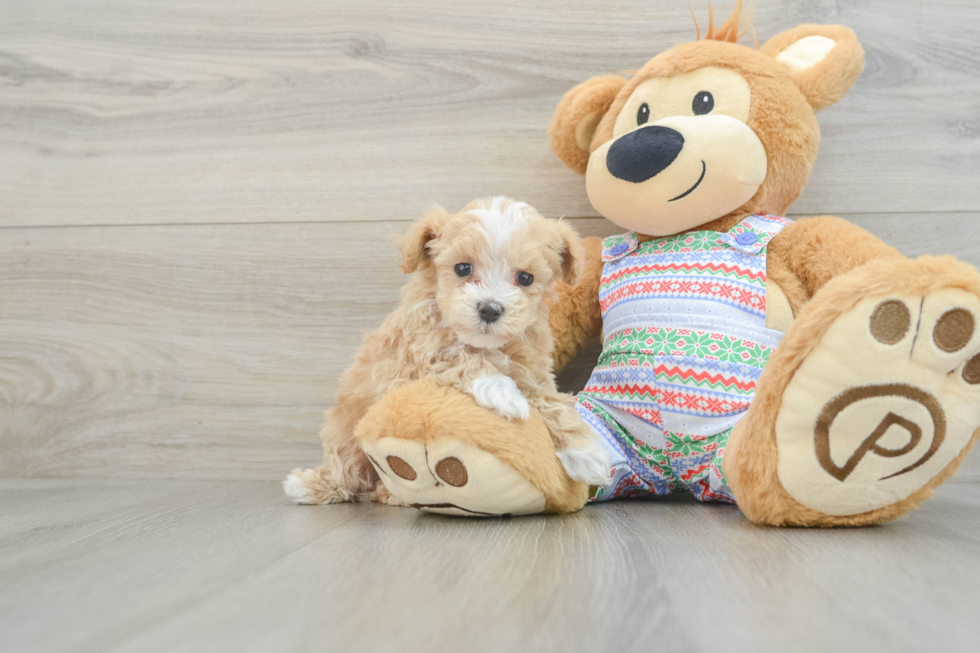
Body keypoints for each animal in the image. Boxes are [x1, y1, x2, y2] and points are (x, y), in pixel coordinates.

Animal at [280, 194, 608, 504]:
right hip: (346, 436)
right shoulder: (412, 363)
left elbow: (553, 402)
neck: (482, 343)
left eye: (525, 277)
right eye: (462, 268)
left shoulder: (532, 373)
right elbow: (461, 360)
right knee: (347, 471)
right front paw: (504, 395)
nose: (489, 309)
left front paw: (587, 453)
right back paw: (307, 486)